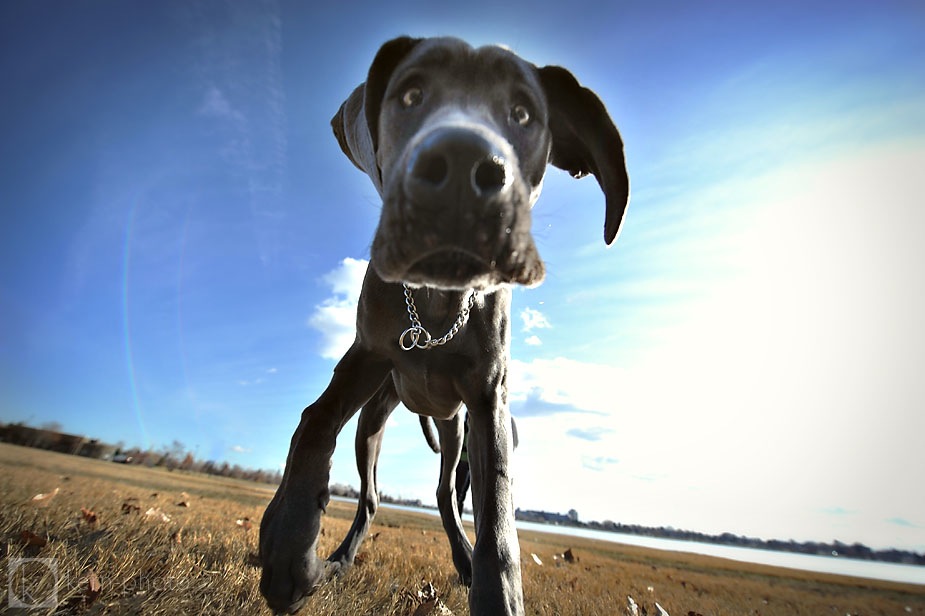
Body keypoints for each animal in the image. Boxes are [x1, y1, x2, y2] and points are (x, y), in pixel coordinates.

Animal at [264, 36, 632, 612]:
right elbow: (315, 420)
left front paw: (497, 591)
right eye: (412, 95)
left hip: (455, 430)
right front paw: (289, 544)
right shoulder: (366, 355)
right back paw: (339, 560)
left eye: (522, 113)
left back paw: (460, 559)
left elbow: (497, 517)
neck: (436, 306)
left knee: (445, 496)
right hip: (374, 421)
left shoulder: (486, 400)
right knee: (372, 497)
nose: (462, 167)